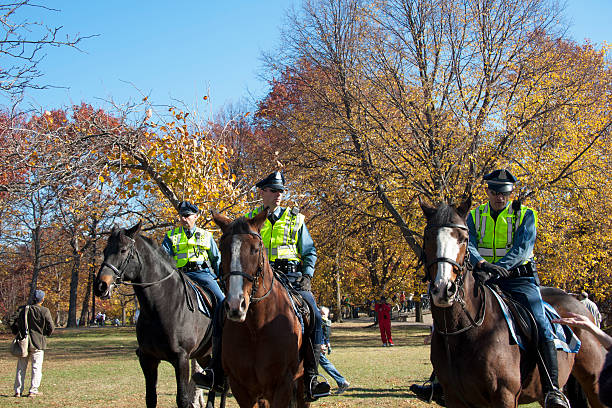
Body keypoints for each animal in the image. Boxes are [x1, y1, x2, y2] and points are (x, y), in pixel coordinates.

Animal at [92, 223, 214, 408]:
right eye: (105, 250)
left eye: (123, 250)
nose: (101, 285)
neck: (159, 307)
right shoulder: (147, 359)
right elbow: (151, 398)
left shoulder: (182, 359)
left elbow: (182, 399)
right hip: (204, 354)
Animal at [214, 210, 310, 408]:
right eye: (222, 249)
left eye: (256, 249)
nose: (236, 304)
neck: (256, 328)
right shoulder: (241, 388)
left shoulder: (282, 385)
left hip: (301, 384)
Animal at [418, 200, 604, 408]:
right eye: (427, 237)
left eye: (464, 239)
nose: (444, 289)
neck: (463, 332)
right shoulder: (454, 397)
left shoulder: (504, 396)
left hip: (595, 385)